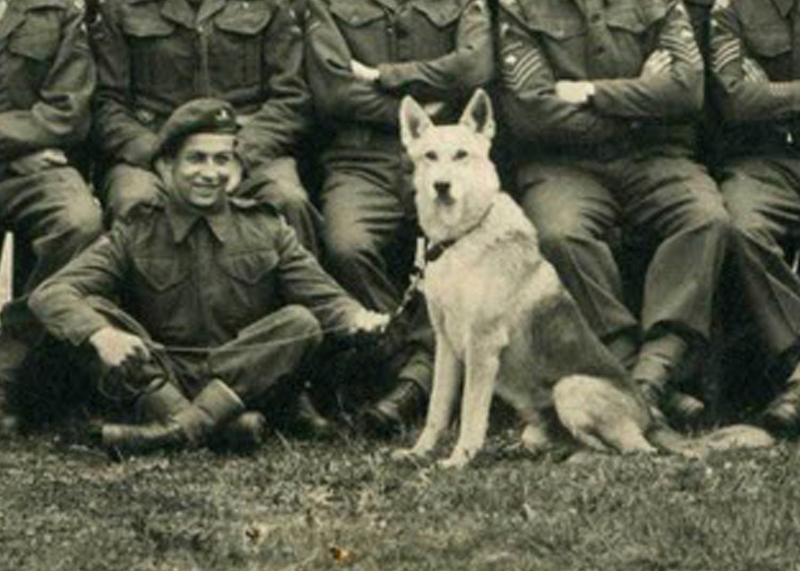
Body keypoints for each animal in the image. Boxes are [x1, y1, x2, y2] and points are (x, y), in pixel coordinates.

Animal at [390, 90, 772, 470]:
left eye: (461, 155)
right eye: (429, 156)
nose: (441, 186)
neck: (463, 236)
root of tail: (650, 417)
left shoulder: (483, 346)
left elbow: (471, 414)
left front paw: (459, 460)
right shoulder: (447, 346)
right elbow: (437, 411)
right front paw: (419, 452)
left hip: (570, 388)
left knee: (634, 450)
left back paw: (579, 458)